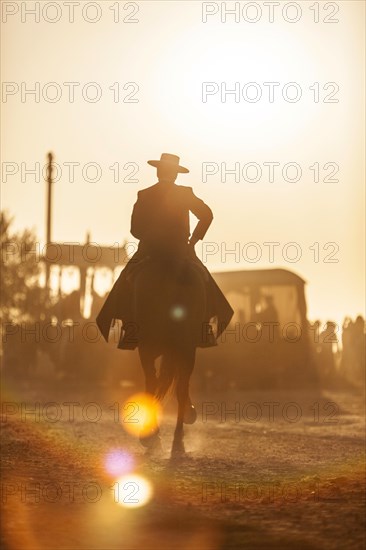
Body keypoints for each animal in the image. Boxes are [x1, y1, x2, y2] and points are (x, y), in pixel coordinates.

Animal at [130, 254, 207, 458]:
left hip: (151, 348)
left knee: (155, 382)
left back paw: (154, 435)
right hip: (184, 348)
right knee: (179, 385)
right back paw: (176, 437)